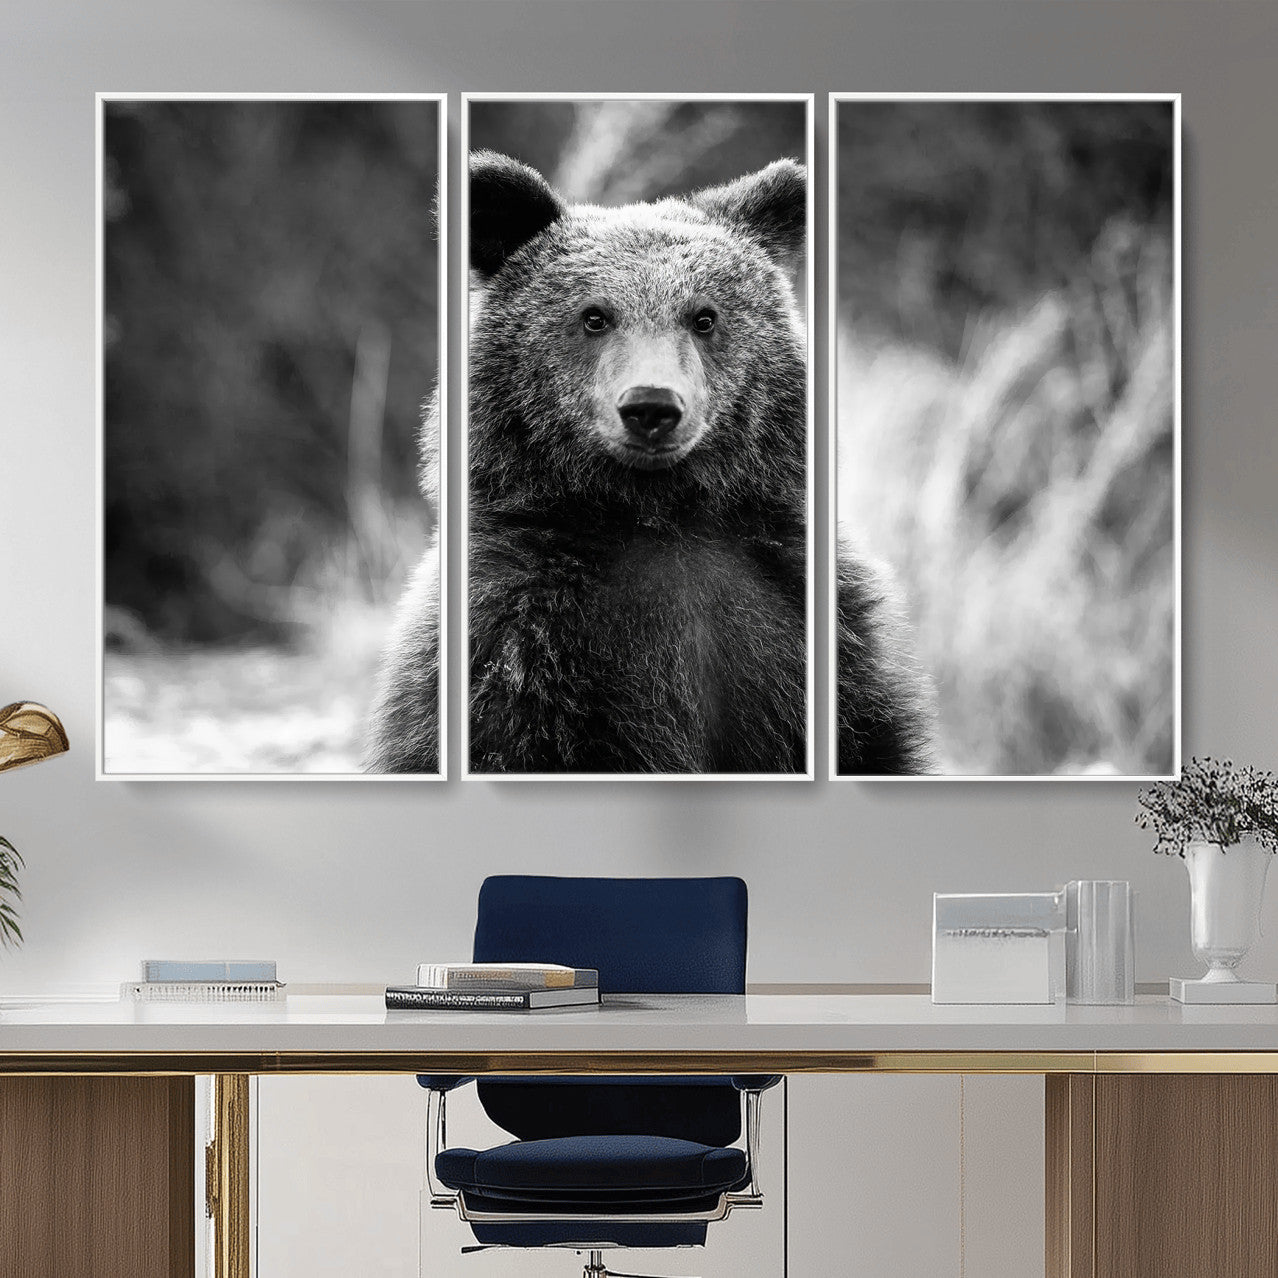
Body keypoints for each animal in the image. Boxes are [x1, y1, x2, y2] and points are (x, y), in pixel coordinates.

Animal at [365, 150, 932, 775]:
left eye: (704, 316)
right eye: (594, 316)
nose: (651, 406)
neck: (657, 514)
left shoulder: (804, 618)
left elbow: (867, 739)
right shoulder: (517, 641)